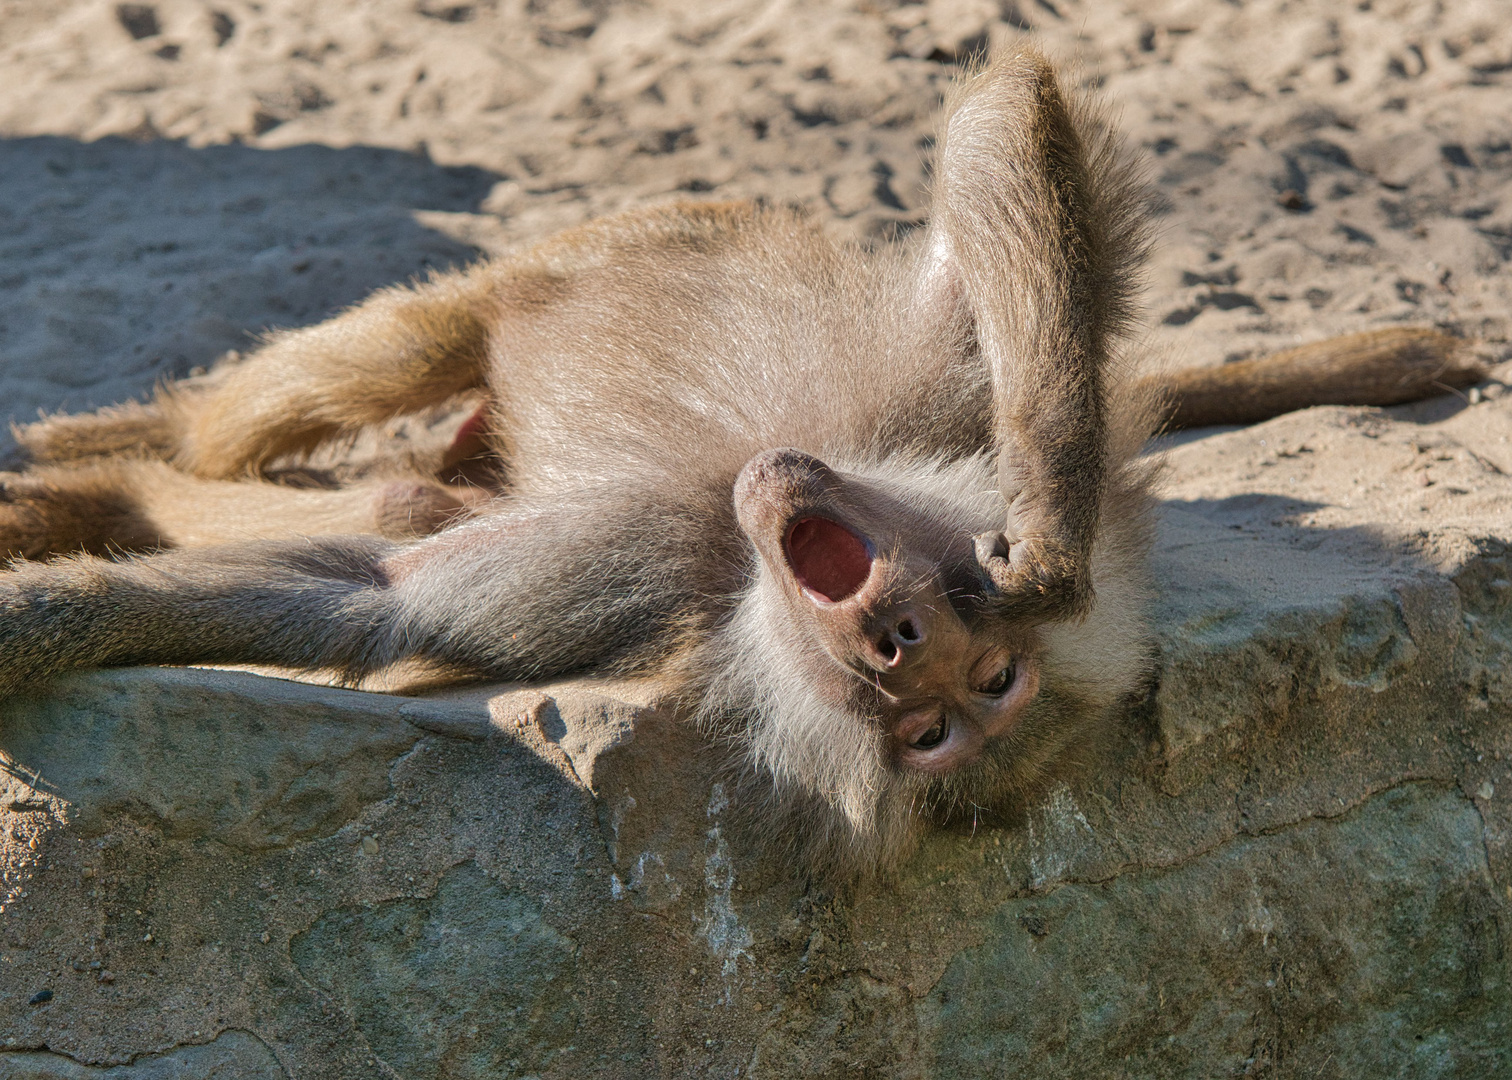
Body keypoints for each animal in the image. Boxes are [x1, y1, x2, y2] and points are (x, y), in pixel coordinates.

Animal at [0, 48, 1481, 877]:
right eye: (968, 671)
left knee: (381, 477)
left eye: (946, 721)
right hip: (611, 241)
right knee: (334, 385)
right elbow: (1005, 128)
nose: (891, 640)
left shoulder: (653, 587)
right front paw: (1056, 529)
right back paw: (89, 457)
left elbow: (369, 595)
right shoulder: (940, 406)